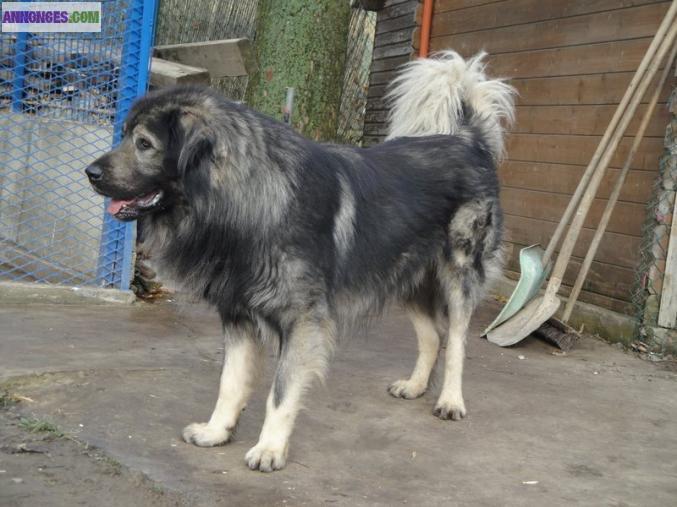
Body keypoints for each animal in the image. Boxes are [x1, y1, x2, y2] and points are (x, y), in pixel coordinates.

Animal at [87, 50, 516, 472]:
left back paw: (450, 400)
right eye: (126, 136)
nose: (90, 172)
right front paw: (216, 431)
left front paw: (269, 449)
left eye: (144, 143)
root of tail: (469, 142)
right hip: (404, 276)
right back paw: (414, 386)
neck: (246, 198)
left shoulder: (302, 321)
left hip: (457, 272)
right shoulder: (237, 315)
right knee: (432, 335)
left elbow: (280, 392)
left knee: (456, 340)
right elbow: (231, 381)